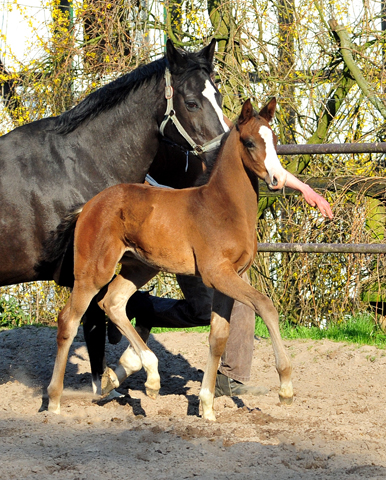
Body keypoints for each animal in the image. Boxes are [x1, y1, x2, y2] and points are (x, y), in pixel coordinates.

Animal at [0, 40, 226, 394]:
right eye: (191, 103)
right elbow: (94, 325)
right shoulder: (82, 272)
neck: (78, 164)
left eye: (219, 97)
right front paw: (103, 384)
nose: (224, 153)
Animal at [47, 99, 292, 422]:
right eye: (250, 142)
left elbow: (218, 337)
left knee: (113, 302)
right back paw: (54, 401)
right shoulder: (218, 274)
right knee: (69, 320)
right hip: (92, 272)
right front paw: (286, 386)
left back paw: (147, 377)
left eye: (274, 140)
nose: (277, 179)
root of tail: (88, 205)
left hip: (140, 268)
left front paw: (207, 407)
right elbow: (266, 305)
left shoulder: (228, 278)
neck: (223, 207)